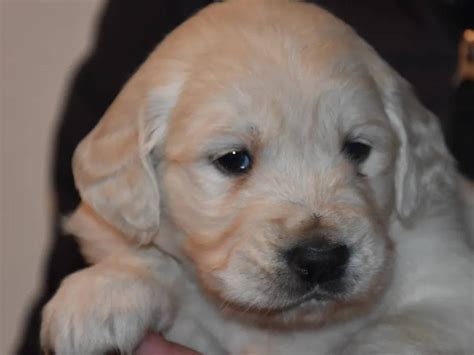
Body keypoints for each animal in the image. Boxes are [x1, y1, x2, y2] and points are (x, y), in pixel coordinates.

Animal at [40, 0, 474, 354]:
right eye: (233, 160)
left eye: (357, 149)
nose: (320, 259)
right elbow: (147, 253)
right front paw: (102, 295)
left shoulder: (450, 290)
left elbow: (399, 331)